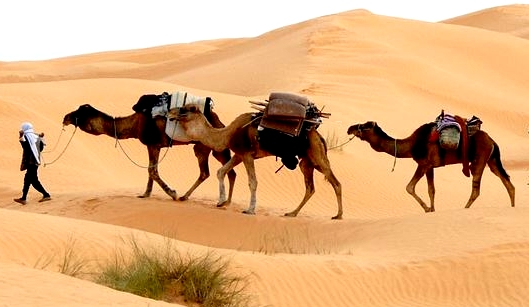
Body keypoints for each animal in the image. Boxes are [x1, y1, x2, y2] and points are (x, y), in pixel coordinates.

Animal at [62, 100, 235, 203]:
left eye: (80, 113)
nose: (65, 117)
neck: (135, 123)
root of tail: (219, 121)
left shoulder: (153, 144)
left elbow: (152, 170)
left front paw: (172, 193)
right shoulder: (153, 146)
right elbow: (151, 170)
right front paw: (145, 194)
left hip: (204, 146)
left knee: (207, 172)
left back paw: (186, 196)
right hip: (210, 147)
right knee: (223, 171)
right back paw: (221, 201)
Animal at [170, 104, 342, 220]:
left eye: (184, 109)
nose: (170, 111)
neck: (228, 134)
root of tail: (319, 136)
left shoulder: (247, 155)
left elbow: (252, 182)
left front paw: (250, 210)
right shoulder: (239, 154)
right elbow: (221, 172)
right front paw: (221, 202)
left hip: (317, 156)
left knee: (335, 182)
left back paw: (338, 215)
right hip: (306, 162)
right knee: (310, 187)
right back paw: (292, 213)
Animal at [344, 121, 512, 213]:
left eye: (365, 126)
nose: (350, 128)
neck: (411, 145)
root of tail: (492, 140)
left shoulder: (423, 163)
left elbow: (409, 187)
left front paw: (426, 209)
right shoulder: (431, 166)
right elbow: (431, 190)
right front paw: (432, 210)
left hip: (480, 159)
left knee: (476, 190)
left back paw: (464, 209)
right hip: (492, 160)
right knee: (507, 182)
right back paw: (512, 207)